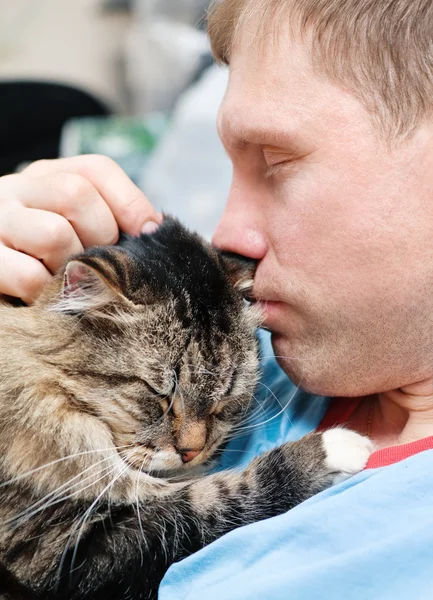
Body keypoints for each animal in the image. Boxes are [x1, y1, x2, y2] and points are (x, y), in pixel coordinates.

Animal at [0, 218, 372, 596]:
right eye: (160, 394)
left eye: (224, 398)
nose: (191, 453)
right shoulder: (60, 554)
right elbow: (208, 500)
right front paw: (331, 450)